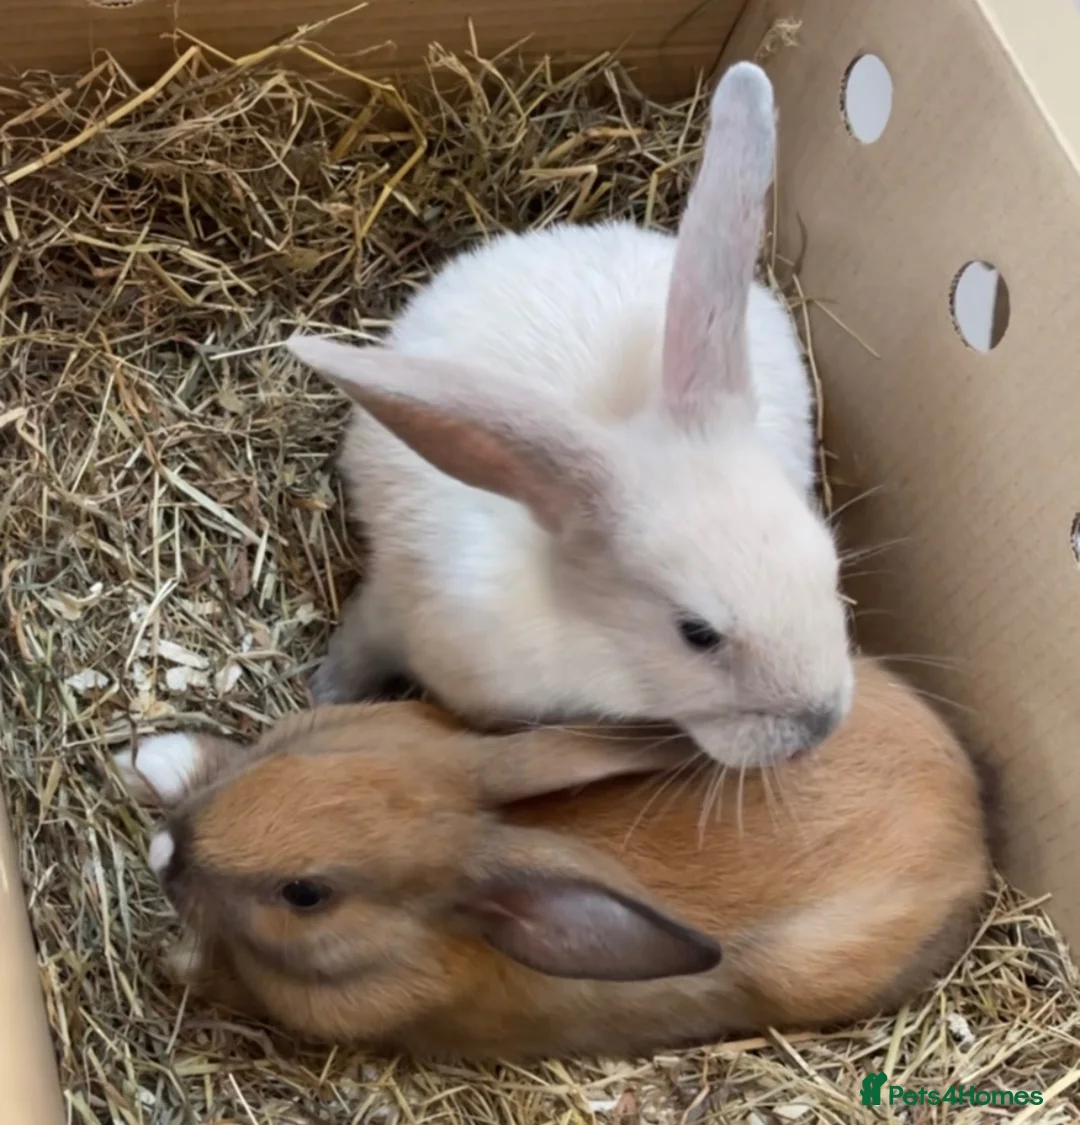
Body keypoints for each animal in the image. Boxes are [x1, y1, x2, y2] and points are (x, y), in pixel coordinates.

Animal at [115, 656, 991, 1062]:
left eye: (306, 894)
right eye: (310, 750)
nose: (166, 850)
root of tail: (973, 820)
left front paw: (174, 958)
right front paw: (151, 759)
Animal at [283, 61, 854, 770]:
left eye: (830, 565)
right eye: (695, 633)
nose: (823, 723)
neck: (585, 642)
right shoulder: (400, 603)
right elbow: (362, 639)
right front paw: (324, 691)